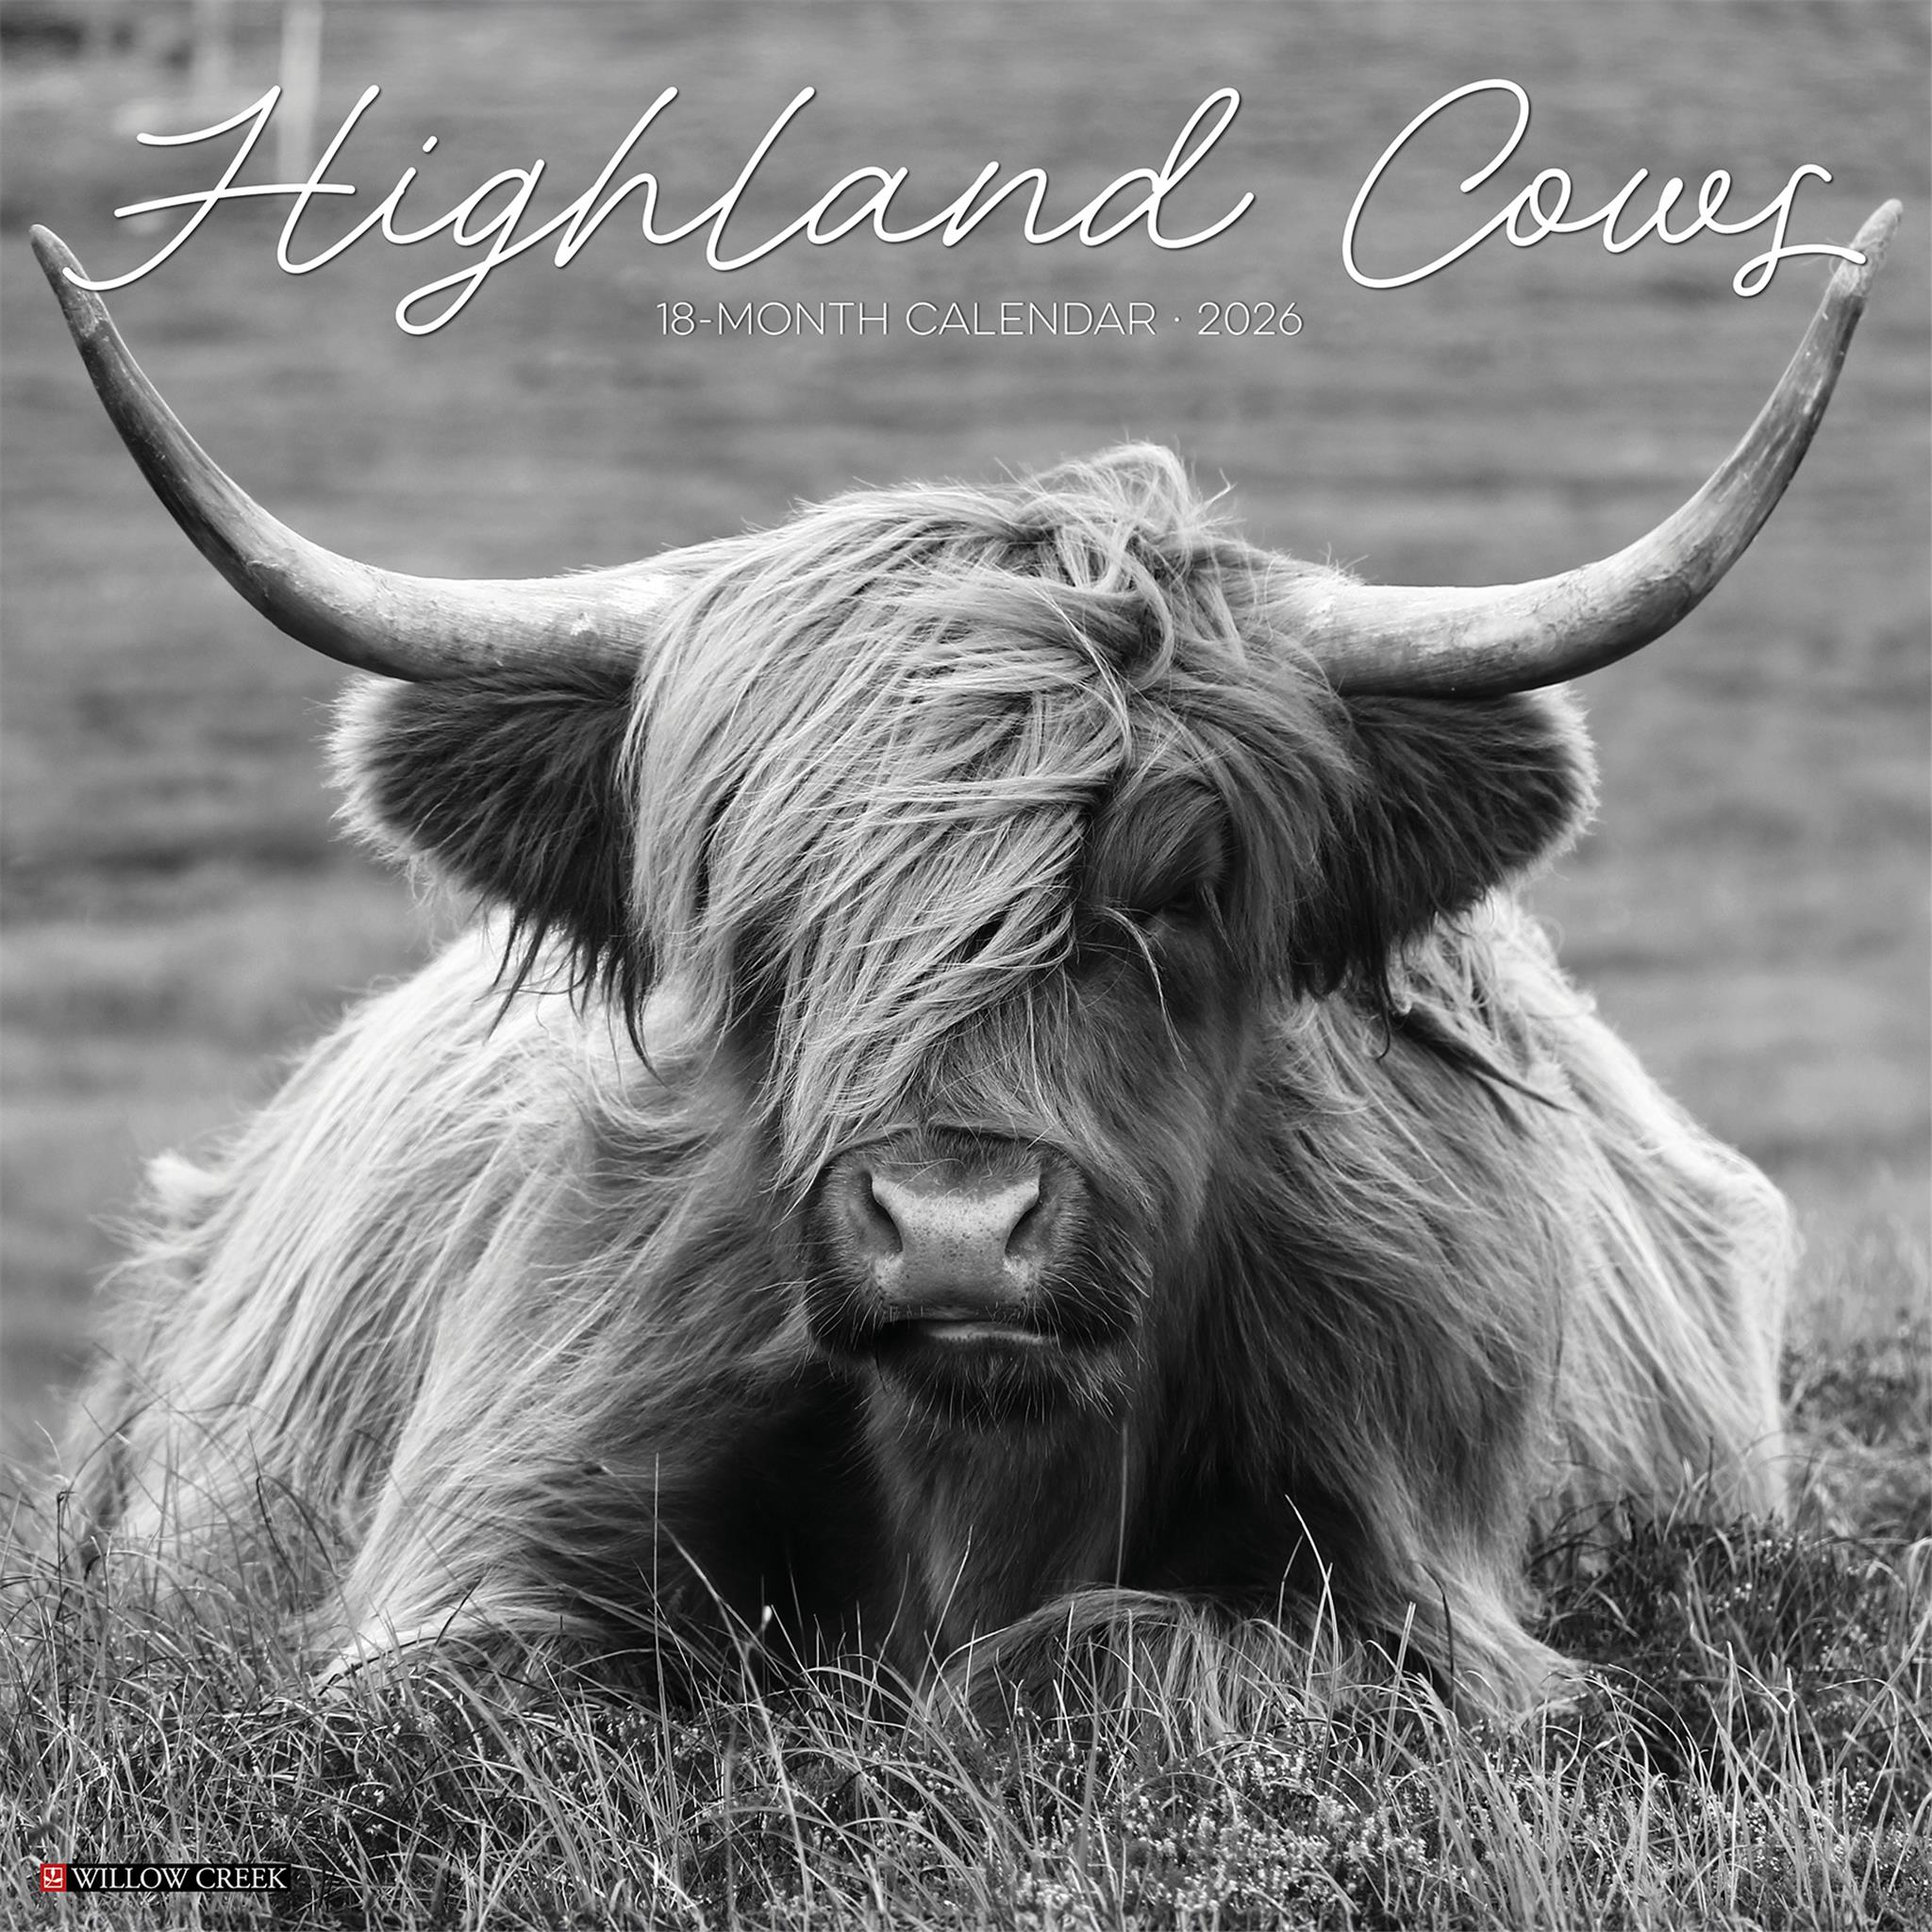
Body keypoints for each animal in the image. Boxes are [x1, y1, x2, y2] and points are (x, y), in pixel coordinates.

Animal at [31, 203, 1897, 1717]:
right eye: (749, 902)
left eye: (1184, 885)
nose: (949, 1226)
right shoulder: (471, 1559)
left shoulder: (1434, 1601)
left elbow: (1115, 1648)